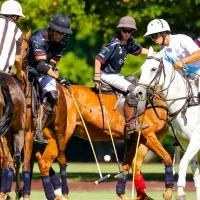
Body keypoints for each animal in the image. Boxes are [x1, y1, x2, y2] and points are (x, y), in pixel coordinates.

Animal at [21, 31, 173, 200]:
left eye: (153, 68)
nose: (140, 92)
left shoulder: (134, 139)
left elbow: (127, 167)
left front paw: (127, 194)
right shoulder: (149, 135)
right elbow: (167, 158)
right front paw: (167, 192)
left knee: (38, 156)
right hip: (62, 134)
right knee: (44, 162)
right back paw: (57, 195)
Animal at [134, 46, 200, 199]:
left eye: (153, 69)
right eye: (142, 68)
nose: (138, 92)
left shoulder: (196, 139)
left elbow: (183, 162)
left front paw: (180, 192)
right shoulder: (185, 142)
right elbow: (193, 167)